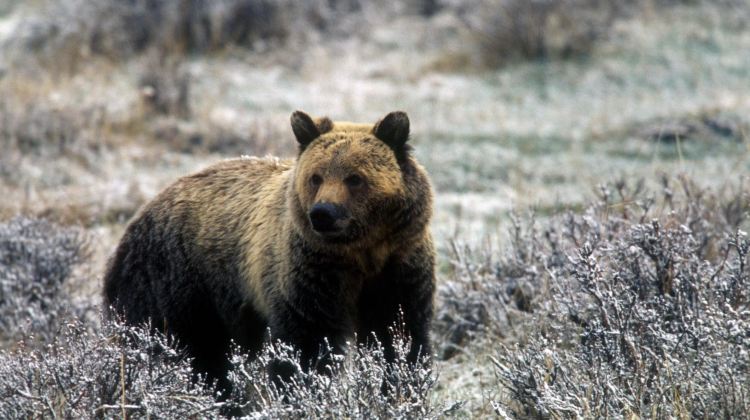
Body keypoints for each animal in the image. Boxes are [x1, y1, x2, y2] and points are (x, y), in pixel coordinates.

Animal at [103, 110, 435, 395]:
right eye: (316, 177)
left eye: (355, 178)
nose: (323, 213)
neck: (359, 254)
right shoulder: (309, 276)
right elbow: (306, 345)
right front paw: (302, 389)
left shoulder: (399, 269)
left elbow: (400, 339)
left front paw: (400, 389)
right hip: (176, 283)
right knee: (189, 352)